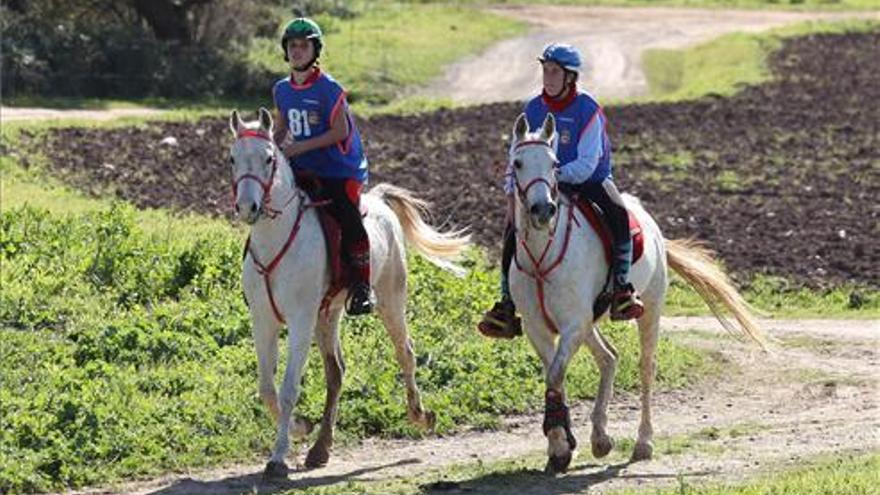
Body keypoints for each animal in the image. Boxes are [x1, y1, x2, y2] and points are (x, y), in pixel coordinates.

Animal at [230, 108, 470, 480]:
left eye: (268, 158)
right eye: (232, 158)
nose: (247, 207)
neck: (275, 239)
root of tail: (380, 200)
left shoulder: (300, 321)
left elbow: (288, 389)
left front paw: (278, 458)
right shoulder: (263, 320)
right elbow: (267, 388)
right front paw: (300, 427)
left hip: (390, 299)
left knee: (406, 353)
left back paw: (420, 415)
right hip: (327, 315)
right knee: (336, 371)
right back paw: (320, 449)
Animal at [506, 112, 768, 472]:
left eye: (555, 163)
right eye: (517, 163)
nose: (543, 210)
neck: (542, 255)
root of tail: (654, 227)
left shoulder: (573, 324)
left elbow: (555, 375)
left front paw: (560, 443)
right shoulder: (539, 327)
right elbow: (553, 377)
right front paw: (561, 444)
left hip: (648, 310)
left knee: (646, 367)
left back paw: (643, 442)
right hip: (591, 323)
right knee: (609, 357)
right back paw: (600, 438)